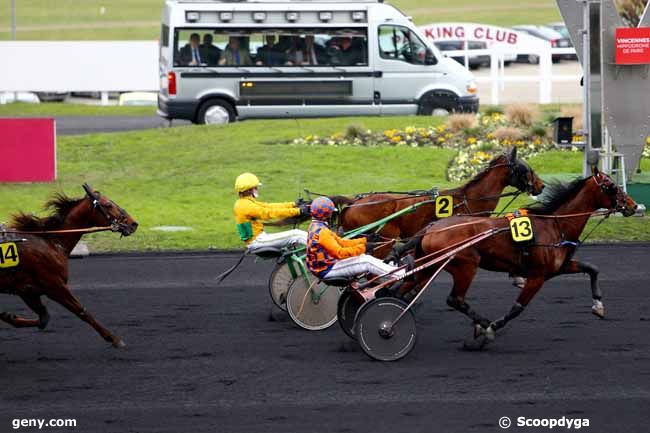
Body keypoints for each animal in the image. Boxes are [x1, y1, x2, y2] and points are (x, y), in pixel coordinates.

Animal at [0, 184, 137, 346]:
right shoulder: (55, 286)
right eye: (108, 204)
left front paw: (8, 316)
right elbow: (81, 311)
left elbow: (43, 319)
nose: (133, 223)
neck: (52, 243)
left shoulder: (27, 290)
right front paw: (114, 338)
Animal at [416, 169, 632, 348]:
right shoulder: (537, 276)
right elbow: (517, 308)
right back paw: (482, 324)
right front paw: (490, 329)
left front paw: (598, 306)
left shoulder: (560, 267)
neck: (555, 226)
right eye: (612, 186)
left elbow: (592, 268)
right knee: (455, 299)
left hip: (431, 266)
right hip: (466, 265)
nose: (632, 205)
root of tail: (432, 228)